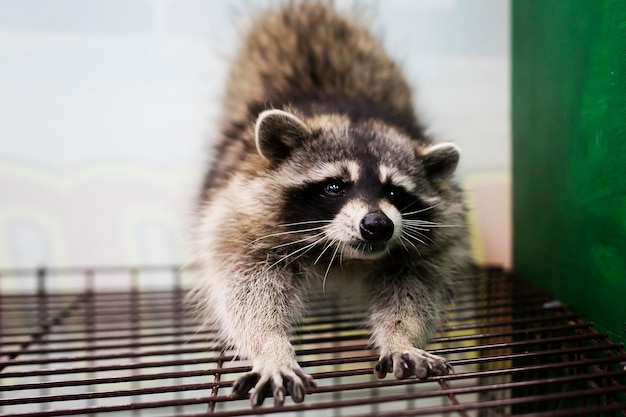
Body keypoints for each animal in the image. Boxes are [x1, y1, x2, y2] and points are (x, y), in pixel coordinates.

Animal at [190, 0, 468, 406]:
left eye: (395, 192)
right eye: (335, 186)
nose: (377, 225)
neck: (344, 255)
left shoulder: (431, 243)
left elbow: (413, 289)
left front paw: (400, 336)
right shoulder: (239, 219)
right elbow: (247, 291)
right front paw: (271, 348)